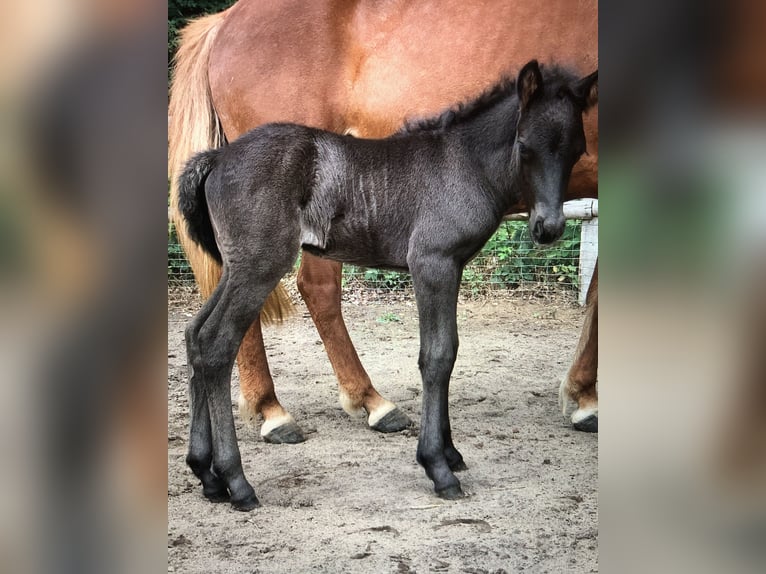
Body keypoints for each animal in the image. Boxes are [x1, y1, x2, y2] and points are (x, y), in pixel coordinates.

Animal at [168, 0, 599, 443]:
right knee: (222, 337)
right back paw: (275, 418)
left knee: (195, 335)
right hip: (259, 263)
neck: (460, 159)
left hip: (239, 266)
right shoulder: (431, 262)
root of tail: (217, 158)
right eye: (524, 146)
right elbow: (438, 354)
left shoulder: (452, 265)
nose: (548, 227)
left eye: (578, 148)